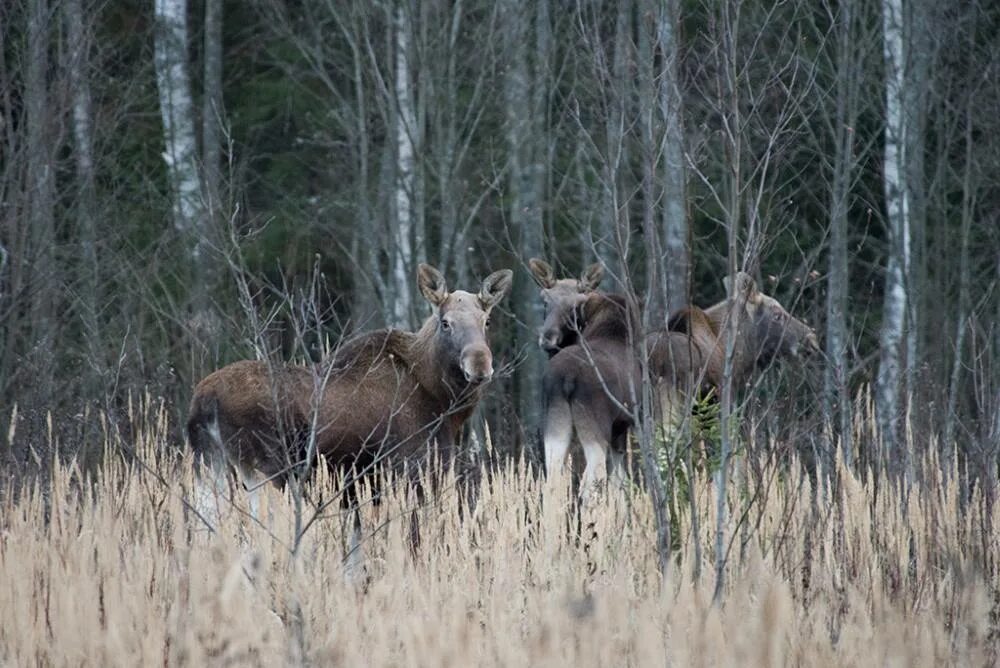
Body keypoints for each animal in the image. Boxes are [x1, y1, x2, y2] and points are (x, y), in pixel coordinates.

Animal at [188, 264, 512, 520]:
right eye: (446, 323)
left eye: (487, 321)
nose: (480, 366)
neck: (443, 403)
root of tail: (202, 401)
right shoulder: (411, 471)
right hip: (265, 472)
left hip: (211, 468)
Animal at [532, 260, 820, 500]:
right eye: (778, 314)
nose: (811, 338)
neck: (733, 350)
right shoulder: (714, 410)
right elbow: (723, 469)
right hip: (660, 418)